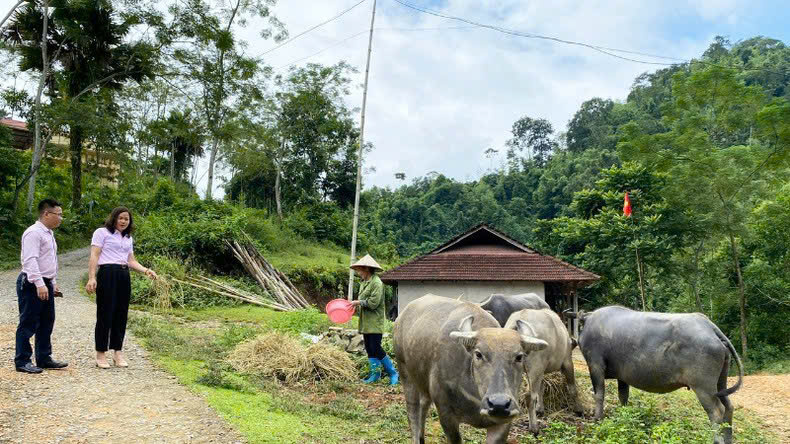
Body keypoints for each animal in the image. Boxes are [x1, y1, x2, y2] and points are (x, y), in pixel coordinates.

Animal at [396, 294, 552, 444]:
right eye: (478, 354)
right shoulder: (446, 414)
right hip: (404, 371)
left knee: (424, 404)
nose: (499, 404)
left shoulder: (504, 421)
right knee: (413, 412)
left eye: (519, 357)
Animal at [568, 306, 744, 444]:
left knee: (717, 412)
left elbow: (599, 394)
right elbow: (623, 396)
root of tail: (709, 327)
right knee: (729, 407)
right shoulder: (622, 377)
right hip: (720, 383)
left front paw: (597, 419)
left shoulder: (595, 365)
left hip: (703, 387)